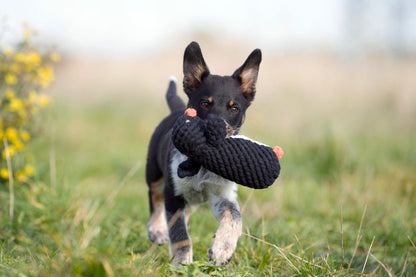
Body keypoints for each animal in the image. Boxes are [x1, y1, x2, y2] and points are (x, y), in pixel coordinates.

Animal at [145, 41, 260, 266]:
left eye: (234, 108)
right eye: (205, 103)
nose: (218, 131)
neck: (203, 167)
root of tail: (176, 109)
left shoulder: (223, 196)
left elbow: (235, 217)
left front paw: (222, 249)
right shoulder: (173, 193)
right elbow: (180, 234)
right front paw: (181, 262)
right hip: (154, 172)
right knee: (155, 197)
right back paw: (157, 230)